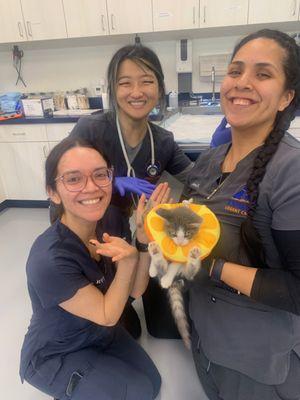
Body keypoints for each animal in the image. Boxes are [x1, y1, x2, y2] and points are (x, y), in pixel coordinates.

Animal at [148, 202, 203, 348]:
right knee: (162, 265)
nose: (179, 242)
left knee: (189, 272)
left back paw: (193, 257)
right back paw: (155, 252)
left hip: (187, 274)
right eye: (173, 233)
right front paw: (152, 269)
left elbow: (174, 265)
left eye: (187, 234)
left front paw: (167, 279)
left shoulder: (179, 258)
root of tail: (177, 281)